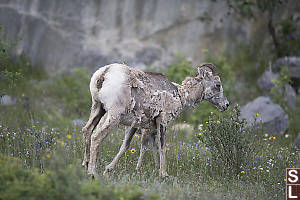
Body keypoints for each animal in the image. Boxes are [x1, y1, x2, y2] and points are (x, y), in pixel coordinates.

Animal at [82, 62, 230, 177]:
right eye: (218, 85)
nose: (226, 105)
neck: (180, 95)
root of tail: (105, 73)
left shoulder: (140, 126)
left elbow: (133, 147)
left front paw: (109, 169)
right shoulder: (162, 122)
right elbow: (162, 147)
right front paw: (163, 174)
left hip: (98, 109)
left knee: (87, 130)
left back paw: (85, 164)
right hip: (113, 115)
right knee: (96, 136)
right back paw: (92, 172)